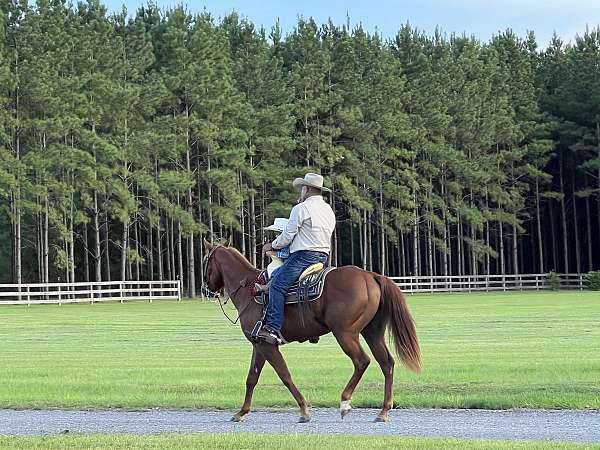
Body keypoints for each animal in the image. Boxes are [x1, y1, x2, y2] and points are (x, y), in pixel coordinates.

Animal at [204, 239, 420, 422]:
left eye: (206, 261)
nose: (207, 289)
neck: (249, 288)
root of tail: (371, 276)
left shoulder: (267, 345)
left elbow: (284, 375)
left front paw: (304, 410)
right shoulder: (259, 345)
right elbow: (252, 378)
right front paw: (241, 412)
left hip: (345, 334)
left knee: (362, 361)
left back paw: (345, 402)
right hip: (372, 332)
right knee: (386, 363)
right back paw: (383, 411)